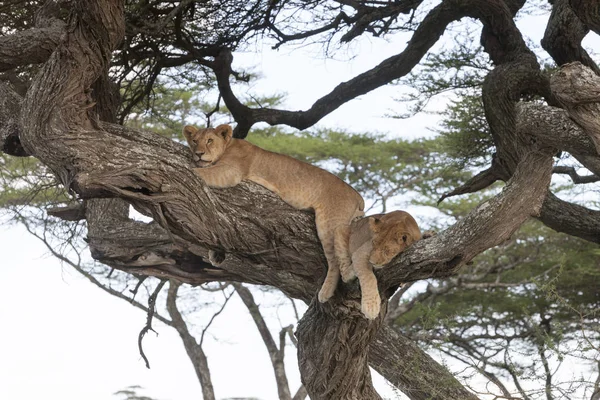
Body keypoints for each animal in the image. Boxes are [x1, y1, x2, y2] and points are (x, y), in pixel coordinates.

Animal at [182, 123, 366, 302]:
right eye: (194, 141)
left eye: (210, 141)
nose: (198, 154)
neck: (228, 146)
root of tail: (357, 195)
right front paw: (216, 253)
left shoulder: (230, 171)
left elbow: (200, 172)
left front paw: (188, 170)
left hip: (329, 223)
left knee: (334, 260)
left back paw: (326, 292)